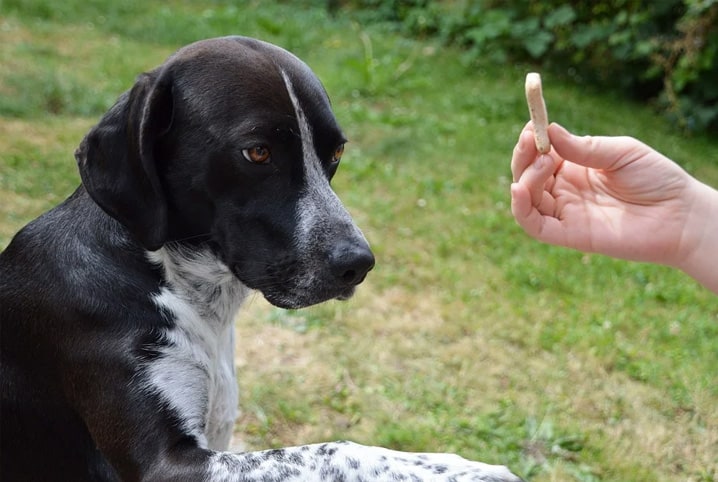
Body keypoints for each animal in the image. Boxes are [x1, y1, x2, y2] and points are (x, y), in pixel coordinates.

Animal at [0, 35, 524, 480]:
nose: (358, 263)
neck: (176, 283)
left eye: (335, 153)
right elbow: (338, 449)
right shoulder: (167, 464)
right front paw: (462, 468)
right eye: (257, 153)